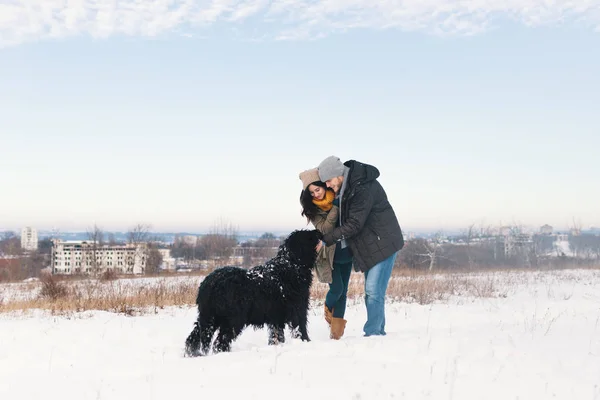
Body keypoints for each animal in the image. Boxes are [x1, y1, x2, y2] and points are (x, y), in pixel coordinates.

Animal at [185, 228, 324, 356]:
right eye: (308, 236)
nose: (319, 231)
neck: (291, 265)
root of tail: (210, 283)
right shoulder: (298, 310)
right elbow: (301, 329)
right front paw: (306, 342)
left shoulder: (276, 318)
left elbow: (277, 336)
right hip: (232, 319)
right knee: (220, 342)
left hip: (208, 316)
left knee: (193, 338)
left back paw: (192, 354)